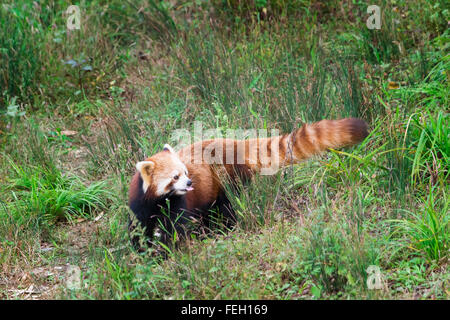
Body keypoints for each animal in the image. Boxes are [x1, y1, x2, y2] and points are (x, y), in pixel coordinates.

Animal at [128, 119, 368, 249]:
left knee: (228, 207)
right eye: (175, 177)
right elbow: (138, 228)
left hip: (229, 179)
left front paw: (169, 250)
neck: (158, 202)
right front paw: (142, 250)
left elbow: (176, 228)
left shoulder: (179, 203)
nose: (189, 182)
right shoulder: (139, 205)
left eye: (185, 172)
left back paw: (224, 229)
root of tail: (235, 144)